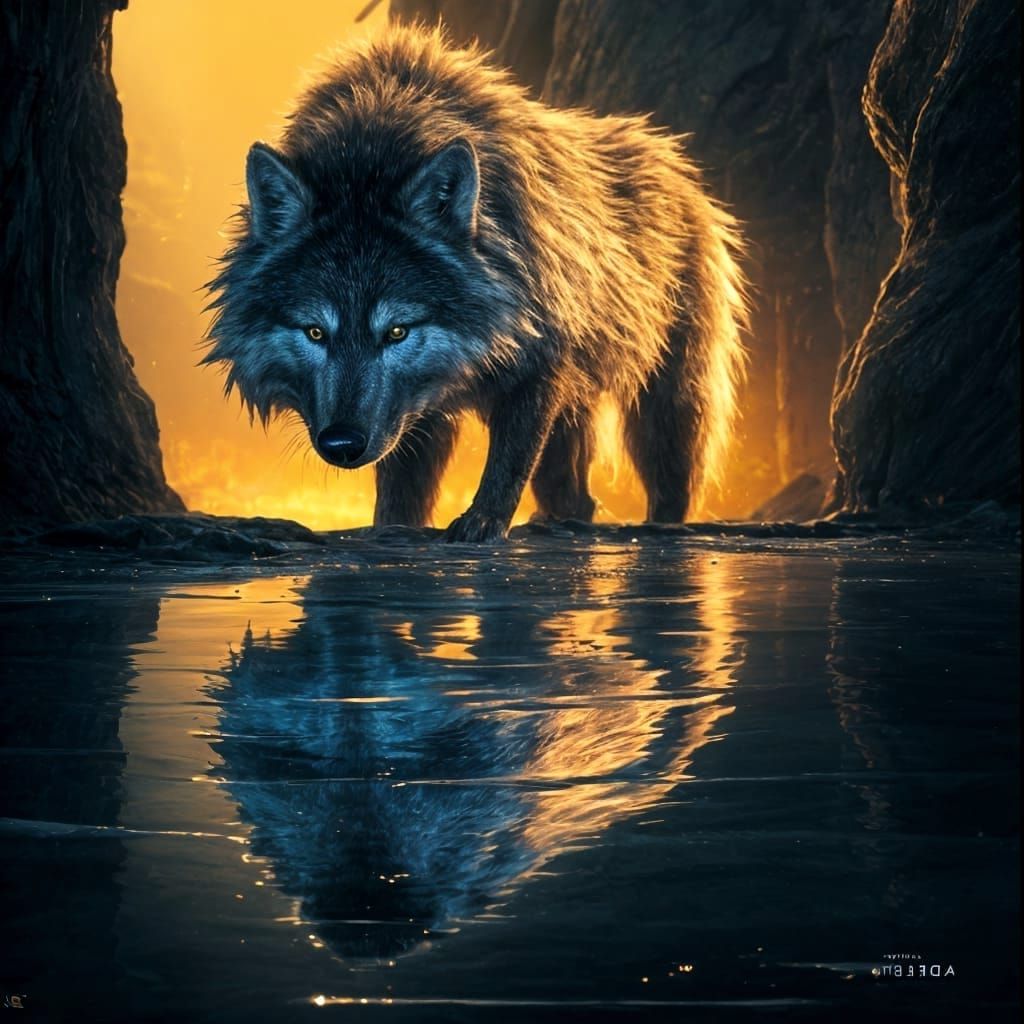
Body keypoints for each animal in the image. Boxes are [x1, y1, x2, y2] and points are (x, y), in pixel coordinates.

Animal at [204, 24, 747, 542]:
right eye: (315, 332)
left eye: (396, 331)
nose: (342, 444)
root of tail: (682, 172)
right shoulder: (418, 408)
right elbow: (401, 497)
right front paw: (393, 532)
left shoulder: (539, 367)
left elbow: (508, 461)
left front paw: (482, 522)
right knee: (576, 499)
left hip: (669, 400)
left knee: (672, 485)